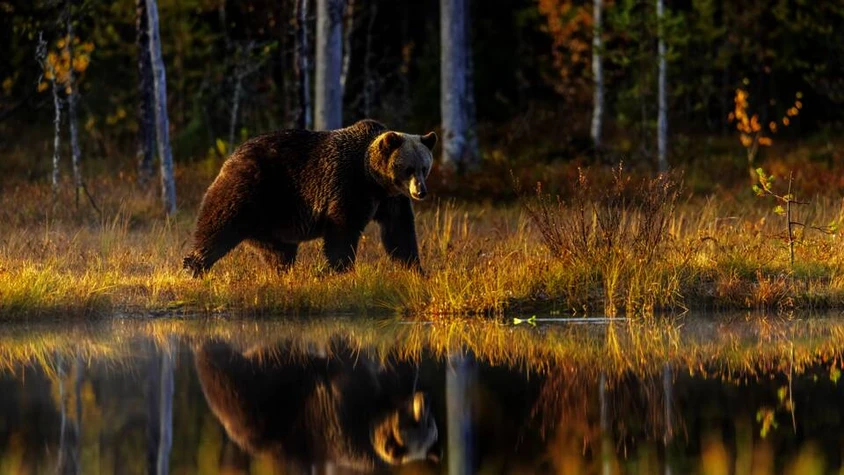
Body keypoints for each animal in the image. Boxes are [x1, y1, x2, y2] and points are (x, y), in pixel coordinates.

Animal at [182, 119, 437, 277]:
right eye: (408, 168)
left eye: (424, 168)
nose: (421, 192)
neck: (373, 179)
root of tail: (231, 156)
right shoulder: (348, 185)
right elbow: (342, 230)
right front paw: (340, 269)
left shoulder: (391, 199)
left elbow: (399, 232)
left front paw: (416, 269)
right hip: (250, 189)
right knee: (218, 225)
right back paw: (193, 266)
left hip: (275, 217)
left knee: (279, 251)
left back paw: (282, 272)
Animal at [194, 339, 440, 471]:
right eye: (415, 422)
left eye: (429, 423)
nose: (425, 400)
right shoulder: (349, 413)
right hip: (262, 407)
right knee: (229, 375)